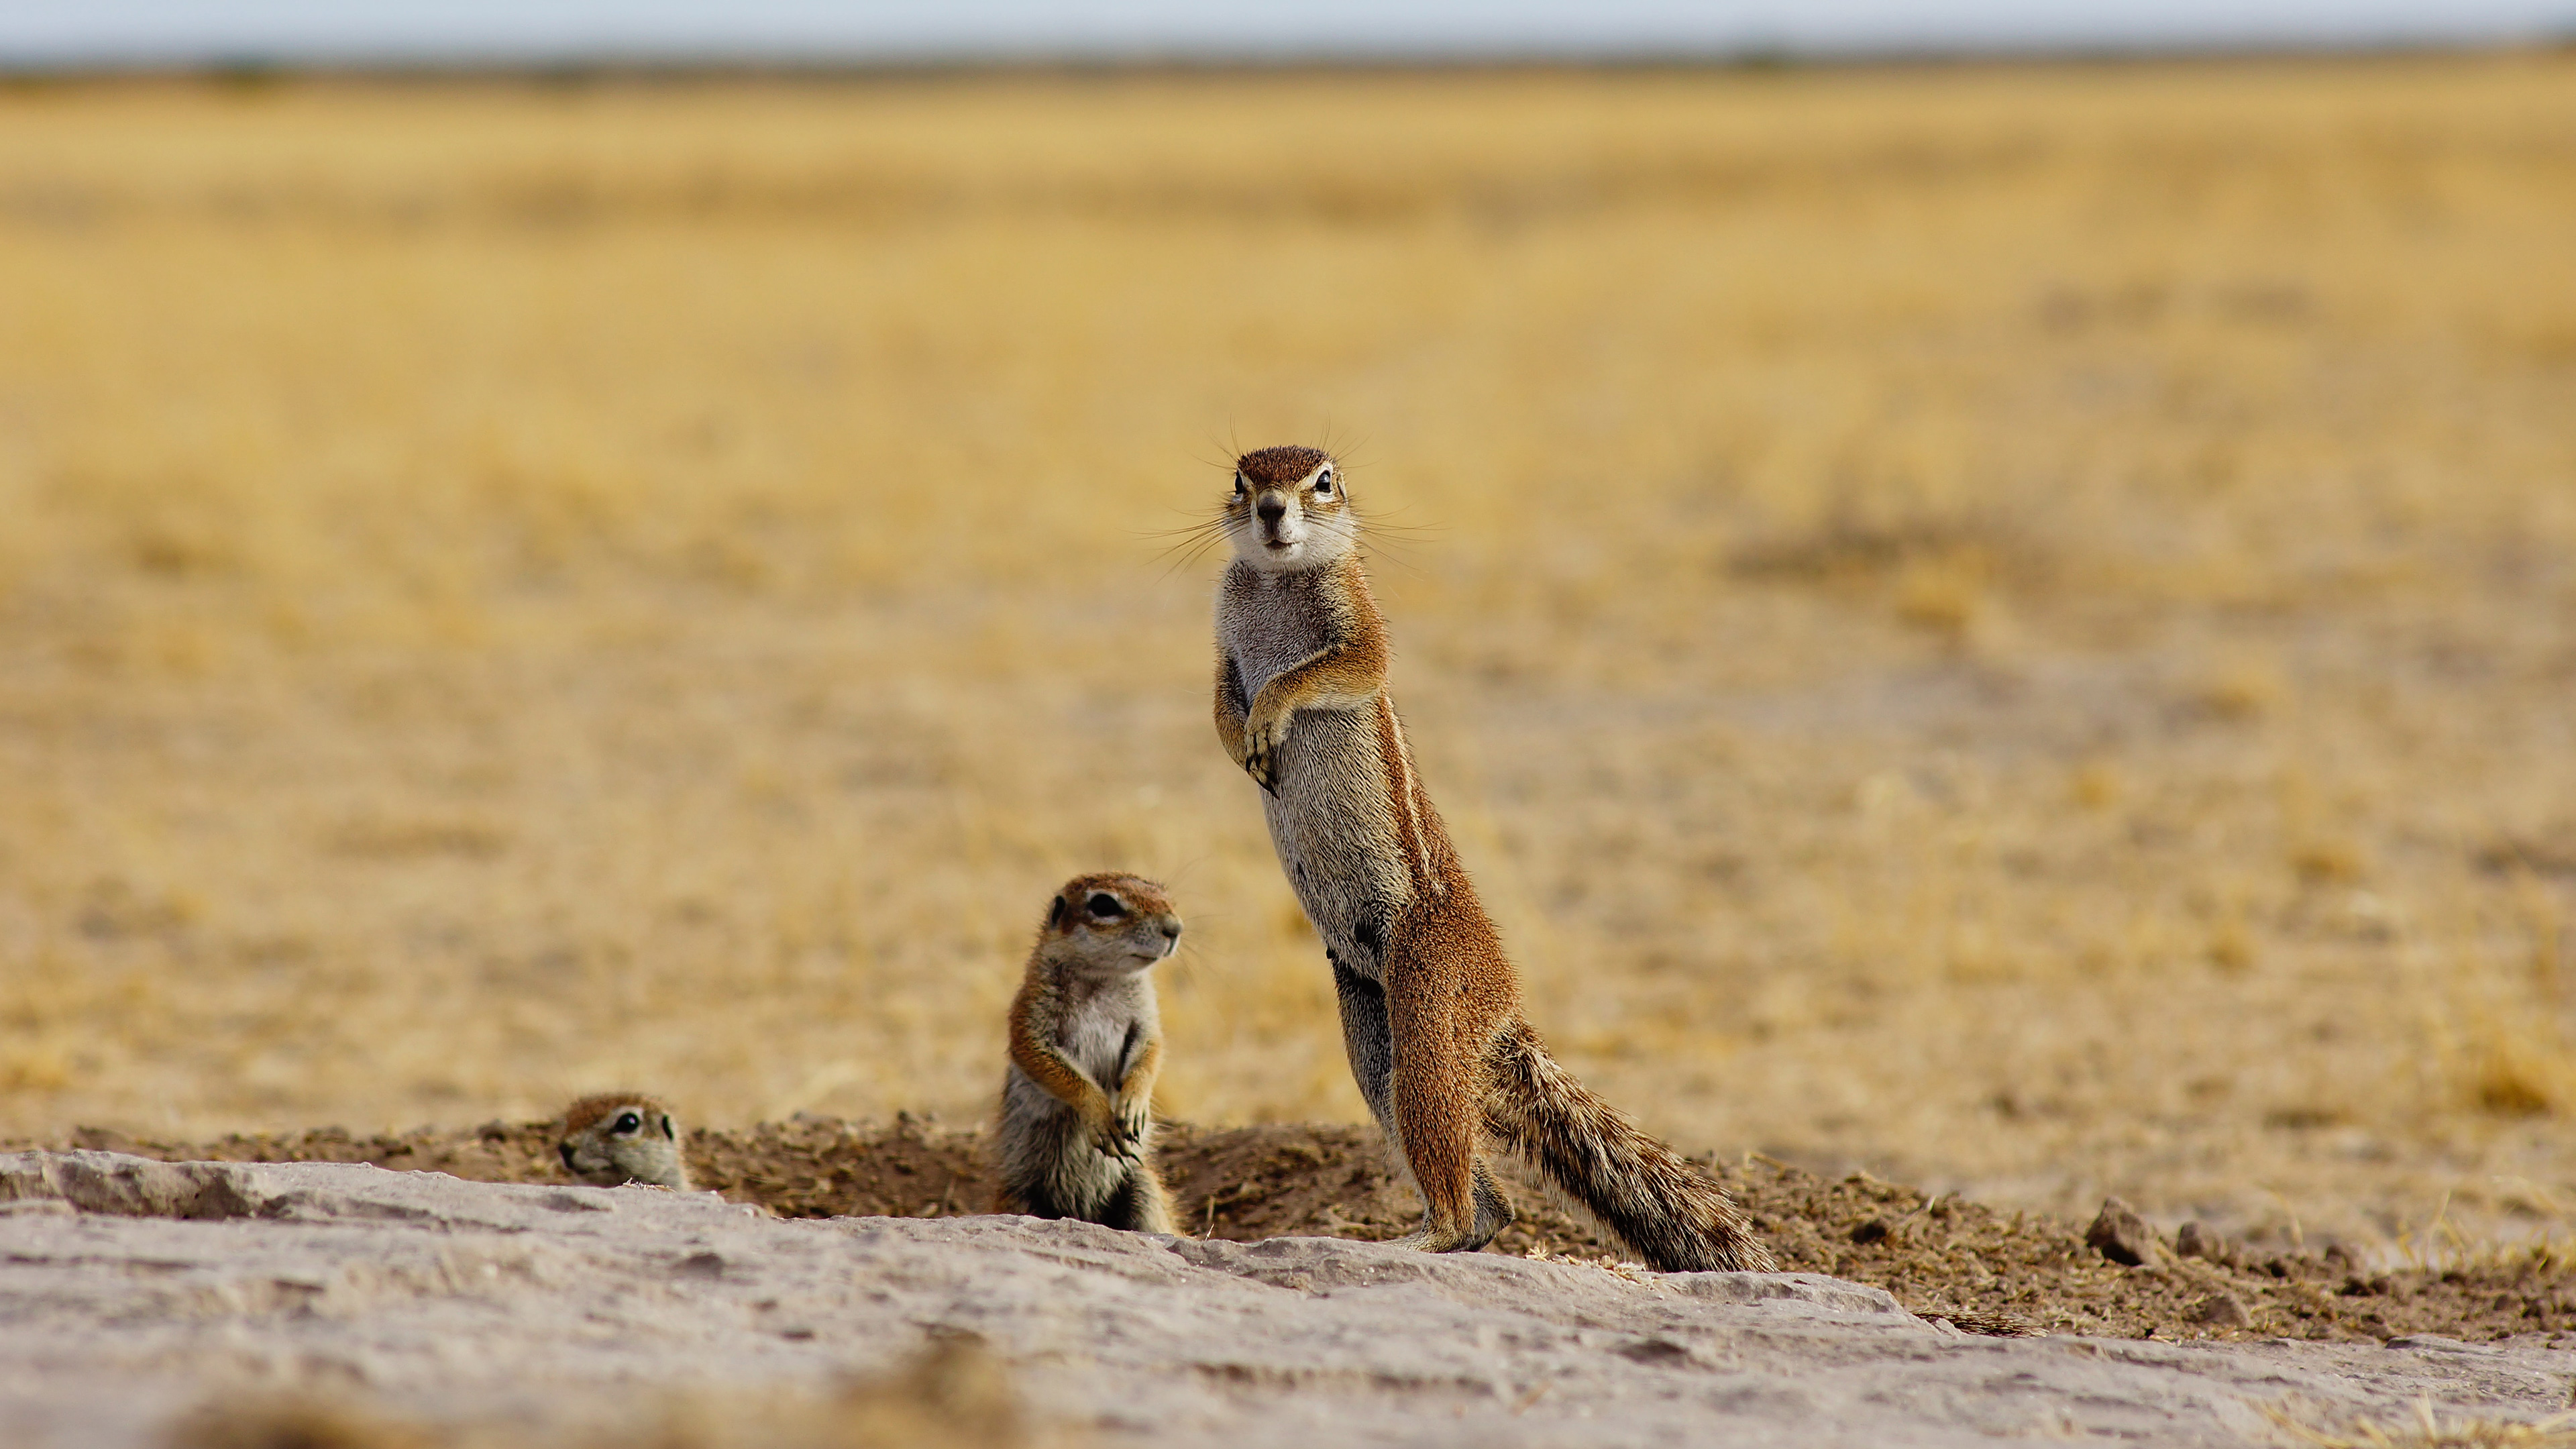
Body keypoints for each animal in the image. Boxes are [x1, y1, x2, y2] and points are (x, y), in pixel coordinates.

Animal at [989, 866, 1179, 1227]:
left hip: (1141, 1187)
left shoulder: (1146, 1018)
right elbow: (1042, 1059)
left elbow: (1152, 1050)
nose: (1175, 928)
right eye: (1104, 905)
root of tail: (1082, 1214)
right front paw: (1099, 1113)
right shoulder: (1032, 1014)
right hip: (1021, 1199)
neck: (1104, 978)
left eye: (1166, 894)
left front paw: (1135, 1104)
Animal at [1205, 445, 1772, 1268]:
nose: (1273, 511)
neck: (1277, 580)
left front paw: (1269, 714)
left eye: (1323, 481)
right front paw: (1236, 739)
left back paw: (1426, 1234)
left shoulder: (1360, 627)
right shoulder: (1222, 640)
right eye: (1241, 482)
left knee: (1445, 1135)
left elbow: (1335, 670)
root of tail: (1505, 1008)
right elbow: (1221, 693)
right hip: (1368, 1023)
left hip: (1430, 1000)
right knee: (1479, 1188)